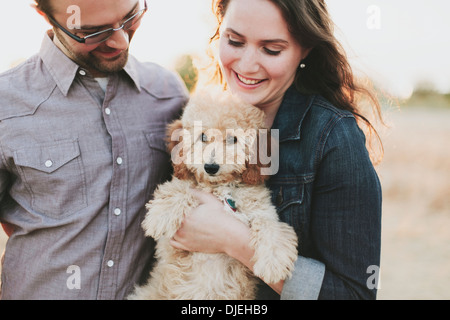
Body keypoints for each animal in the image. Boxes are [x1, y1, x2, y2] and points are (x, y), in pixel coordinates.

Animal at [129, 88, 298, 300]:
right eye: (202, 136)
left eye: (233, 139)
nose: (210, 167)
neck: (219, 187)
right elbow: (181, 188)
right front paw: (161, 215)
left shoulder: (261, 210)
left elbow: (270, 227)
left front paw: (274, 262)